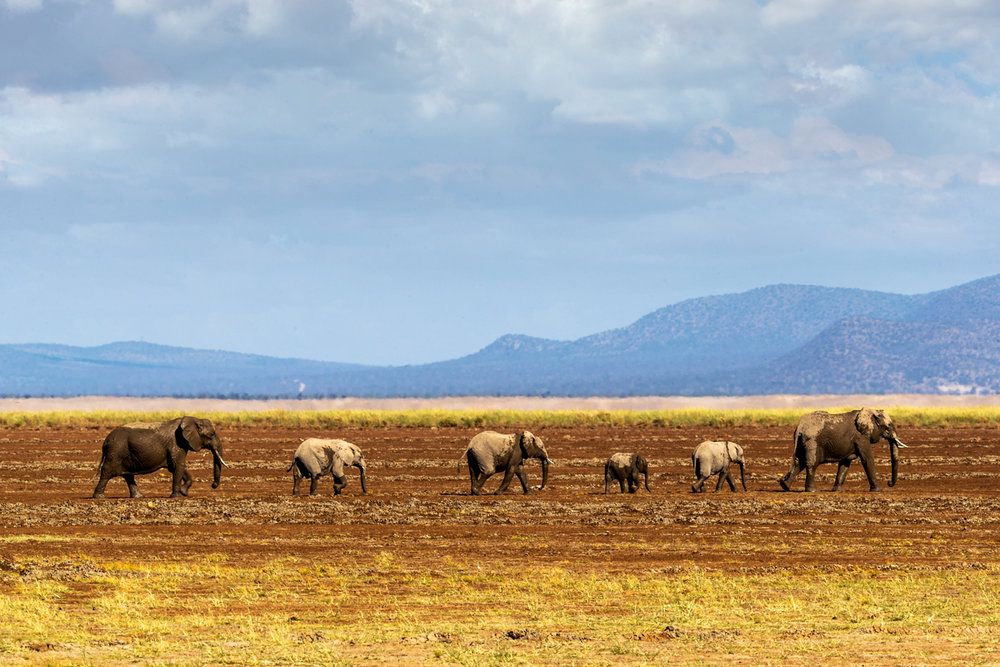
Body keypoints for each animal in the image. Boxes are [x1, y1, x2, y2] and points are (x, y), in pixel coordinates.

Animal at [92, 414, 229, 498]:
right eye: (211, 434)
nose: (213, 485)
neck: (192, 419)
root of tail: (105, 441)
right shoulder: (176, 443)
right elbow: (178, 466)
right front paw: (177, 496)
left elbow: (177, 466)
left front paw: (183, 493)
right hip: (115, 452)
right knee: (107, 472)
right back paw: (99, 497)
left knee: (128, 475)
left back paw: (139, 496)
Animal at [776, 404, 912, 494]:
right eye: (888, 426)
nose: (889, 483)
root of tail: (800, 426)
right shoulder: (861, 437)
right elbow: (867, 458)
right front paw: (878, 490)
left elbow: (846, 463)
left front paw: (839, 491)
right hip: (812, 441)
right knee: (811, 464)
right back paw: (813, 490)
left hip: (802, 441)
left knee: (799, 462)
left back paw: (785, 486)